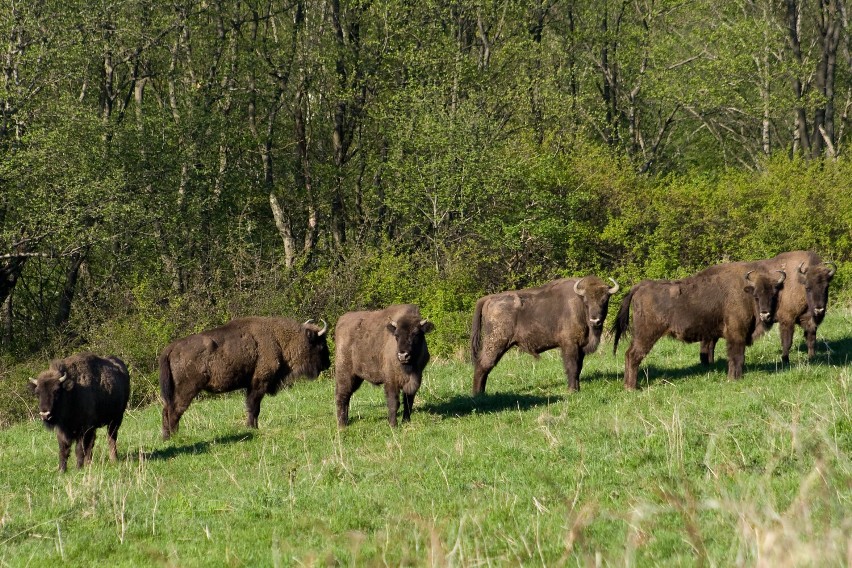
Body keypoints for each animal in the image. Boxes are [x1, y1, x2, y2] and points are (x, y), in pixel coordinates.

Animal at [160, 318, 330, 442]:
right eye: (321, 344)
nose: (327, 363)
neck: (278, 339)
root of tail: (171, 348)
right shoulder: (259, 384)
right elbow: (254, 407)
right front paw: (252, 427)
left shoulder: (251, 386)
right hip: (186, 390)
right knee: (174, 411)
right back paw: (176, 436)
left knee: (166, 410)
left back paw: (166, 437)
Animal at [470, 276, 624, 394]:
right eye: (586, 301)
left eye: (604, 300)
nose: (595, 320)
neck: (579, 305)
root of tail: (489, 299)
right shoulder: (569, 345)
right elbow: (572, 367)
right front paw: (572, 390)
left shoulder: (580, 347)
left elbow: (579, 368)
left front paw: (577, 388)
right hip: (496, 342)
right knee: (483, 365)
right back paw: (478, 394)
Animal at [612, 264, 784, 388]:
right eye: (757, 295)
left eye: (774, 294)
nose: (765, 314)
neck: (744, 292)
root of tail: (641, 286)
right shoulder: (737, 335)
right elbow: (737, 357)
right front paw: (735, 378)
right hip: (647, 335)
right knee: (634, 355)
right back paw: (632, 387)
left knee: (628, 354)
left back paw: (627, 385)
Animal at [700, 251, 840, 366]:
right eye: (808, 287)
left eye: (826, 286)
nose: (819, 309)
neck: (798, 282)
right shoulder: (787, 320)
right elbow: (787, 342)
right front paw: (785, 361)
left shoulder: (809, 321)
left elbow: (811, 339)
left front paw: (812, 358)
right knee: (708, 343)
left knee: (710, 343)